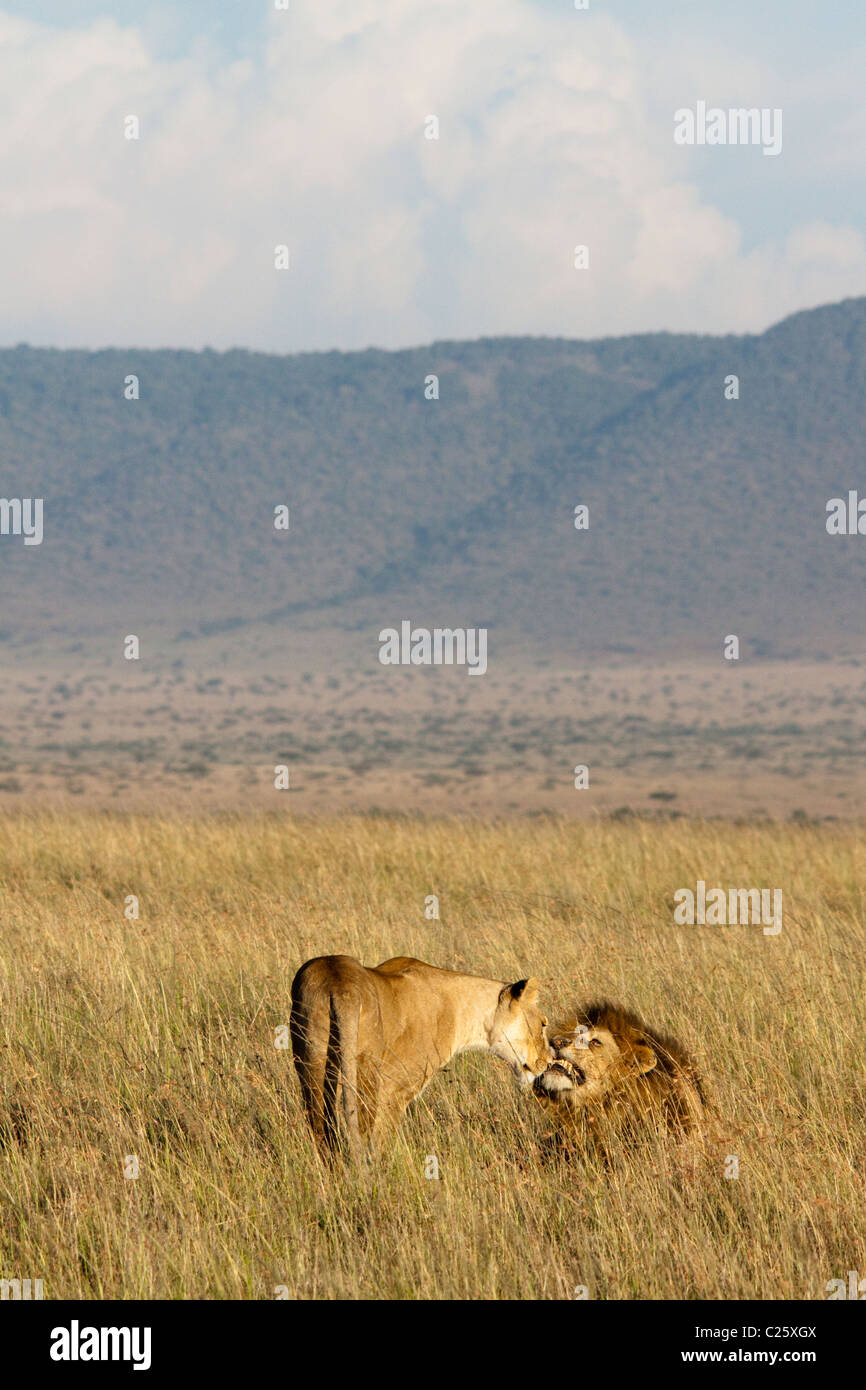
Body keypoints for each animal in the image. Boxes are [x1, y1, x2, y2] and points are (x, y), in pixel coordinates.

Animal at [291, 956, 547, 1162]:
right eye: (543, 1024)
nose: (548, 1061)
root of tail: (340, 986)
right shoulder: (395, 1090)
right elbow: (380, 1144)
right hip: (366, 1071)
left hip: (311, 1062)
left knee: (320, 1129)